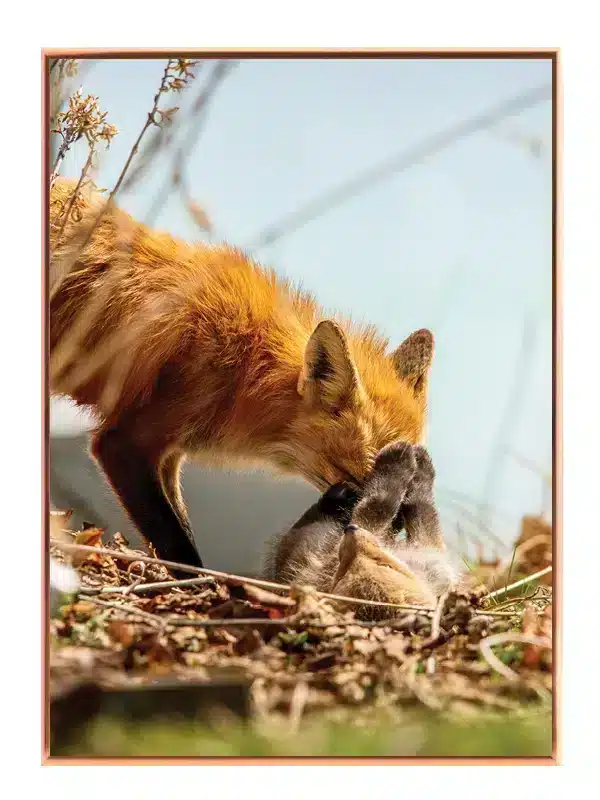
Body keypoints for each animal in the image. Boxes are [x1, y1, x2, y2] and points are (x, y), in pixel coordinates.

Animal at [49, 178, 434, 569]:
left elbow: (182, 524)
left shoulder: (170, 454)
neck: (246, 369)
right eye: (359, 480)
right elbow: (178, 543)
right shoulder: (124, 443)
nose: (394, 534)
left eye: (411, 482)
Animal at [264, 441, 459, 618]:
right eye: (386, 565)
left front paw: (407, 461)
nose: (351, 529)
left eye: (341, 574)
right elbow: (404, 504)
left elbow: (400, 504)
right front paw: (408, 461)